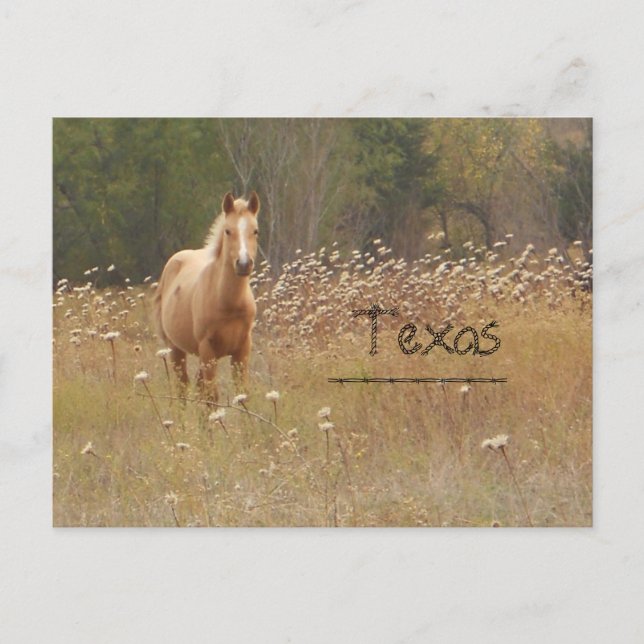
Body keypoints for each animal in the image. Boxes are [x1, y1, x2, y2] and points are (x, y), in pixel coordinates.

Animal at [154, 191, 260, 400]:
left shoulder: (242, 349)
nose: (243, 264)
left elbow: (242, 393)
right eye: (227, 231)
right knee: (182, 388)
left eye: (255, 231)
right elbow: (212, 397)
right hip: (176, 349)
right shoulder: (207, 349)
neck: (228, 303)